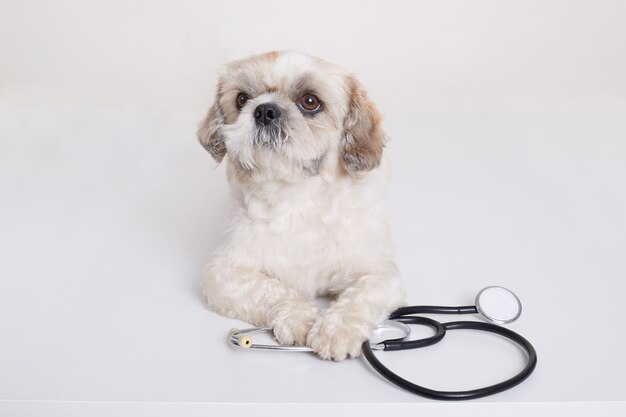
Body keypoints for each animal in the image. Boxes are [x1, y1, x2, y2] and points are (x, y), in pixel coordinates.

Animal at [196, 50, 404, 360]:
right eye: (242, 99)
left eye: (310, 101)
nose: (265, 110)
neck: (296, 200)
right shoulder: (222, 273)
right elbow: (268, 288)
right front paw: (300, 316)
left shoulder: (382, 275)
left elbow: (360, 296)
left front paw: (337, 329)